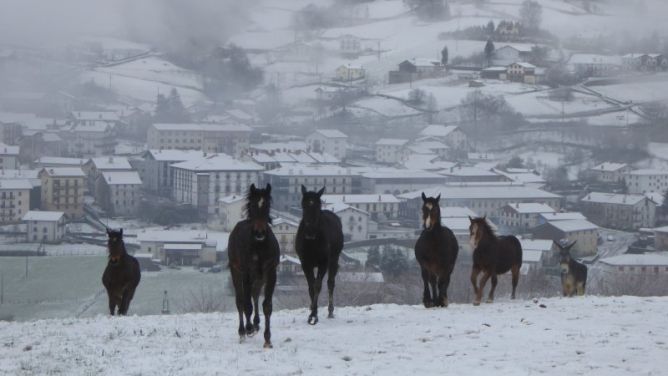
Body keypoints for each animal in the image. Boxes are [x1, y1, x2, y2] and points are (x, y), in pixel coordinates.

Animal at [227, 184, 280, 348]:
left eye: (267, 205)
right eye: (252, 206)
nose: (259, 232)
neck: (259, 246)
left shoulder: (270, 272)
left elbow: (267, 305)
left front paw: (267, 339)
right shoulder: (246, 272)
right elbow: (246, 303)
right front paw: (248, 328)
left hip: (259, 277)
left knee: (255, 294)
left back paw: (256, 324)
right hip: (236, 271)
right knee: (240, 300)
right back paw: (243, 331)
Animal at [294, 187, 342, 324]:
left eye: (317, 206)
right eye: (303, 205)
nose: (310, 232)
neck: (312, 241)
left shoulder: (323, 262)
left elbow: (317, 286)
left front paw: (314, 315)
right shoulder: (305, 263)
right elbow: (311, 286)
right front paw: (312, 311)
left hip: (334, 258)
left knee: (330, 282)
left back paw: (330, 311)